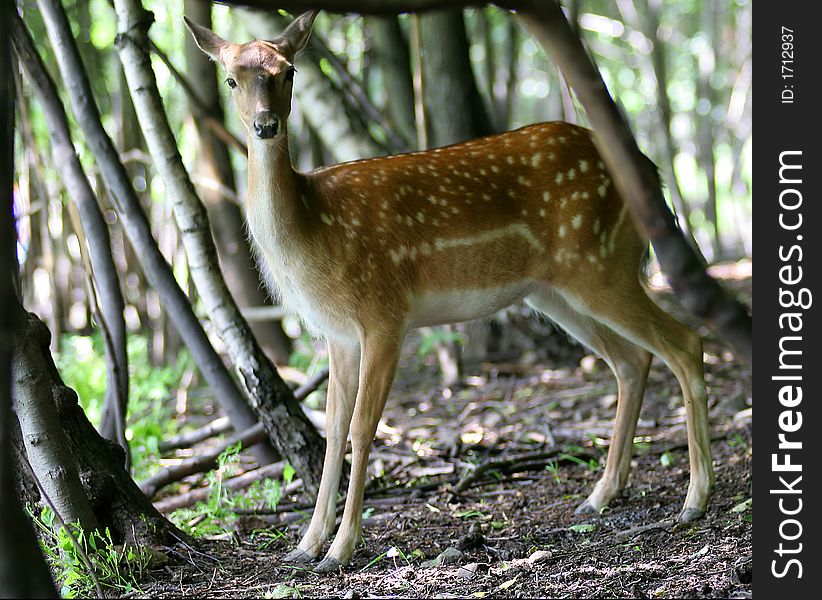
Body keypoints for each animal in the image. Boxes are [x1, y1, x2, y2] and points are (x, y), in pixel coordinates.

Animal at [183, 10, 712, 572]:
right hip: (555, 292)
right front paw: (307, 545)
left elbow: (361, 429)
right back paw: (599, 495)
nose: (266, 125)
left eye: (288, 72)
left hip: (600, 266)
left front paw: (341, 550)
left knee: (684, 343)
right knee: (632, 361)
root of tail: (652, 170)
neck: (313, 230)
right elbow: (333, 434)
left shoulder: (384, 314)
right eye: (231, 79)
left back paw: (695, 499)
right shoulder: (339, 334)